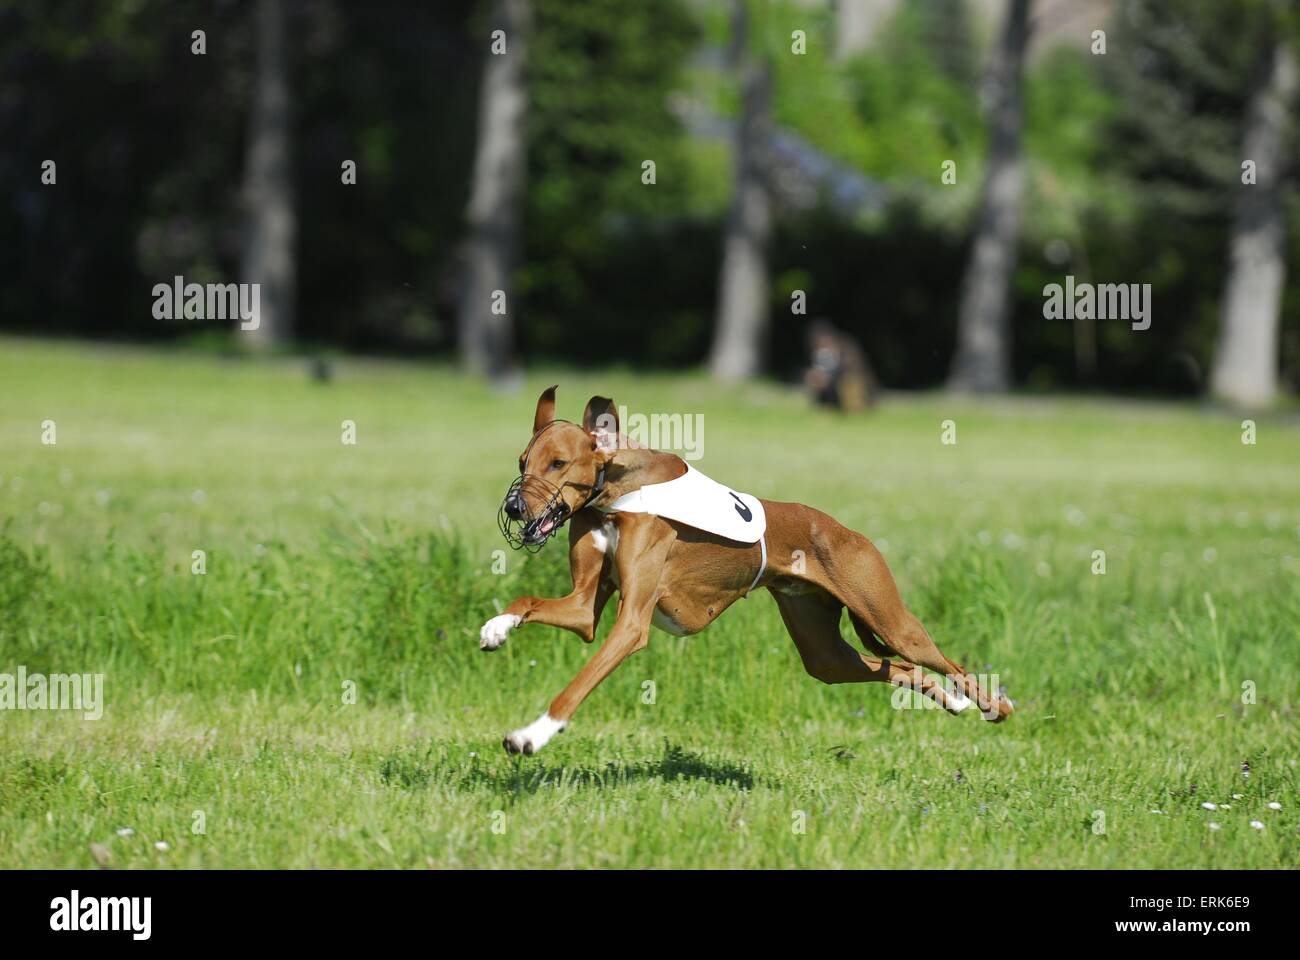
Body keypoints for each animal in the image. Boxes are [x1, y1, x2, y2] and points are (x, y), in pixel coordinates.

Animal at [483, 385, 1008, 749]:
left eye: (558, 463)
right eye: (522, 461)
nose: (513, 508)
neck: (616, 494)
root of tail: (848, 532)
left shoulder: (631, 625)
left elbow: (576, 686)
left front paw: (532, 734)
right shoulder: (584, 611)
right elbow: (528, 601)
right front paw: (496, 627)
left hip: (891, 619)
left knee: (945, 662)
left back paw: (994, 704)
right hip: (824, 656)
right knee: (896, 667)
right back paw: (952, 700)